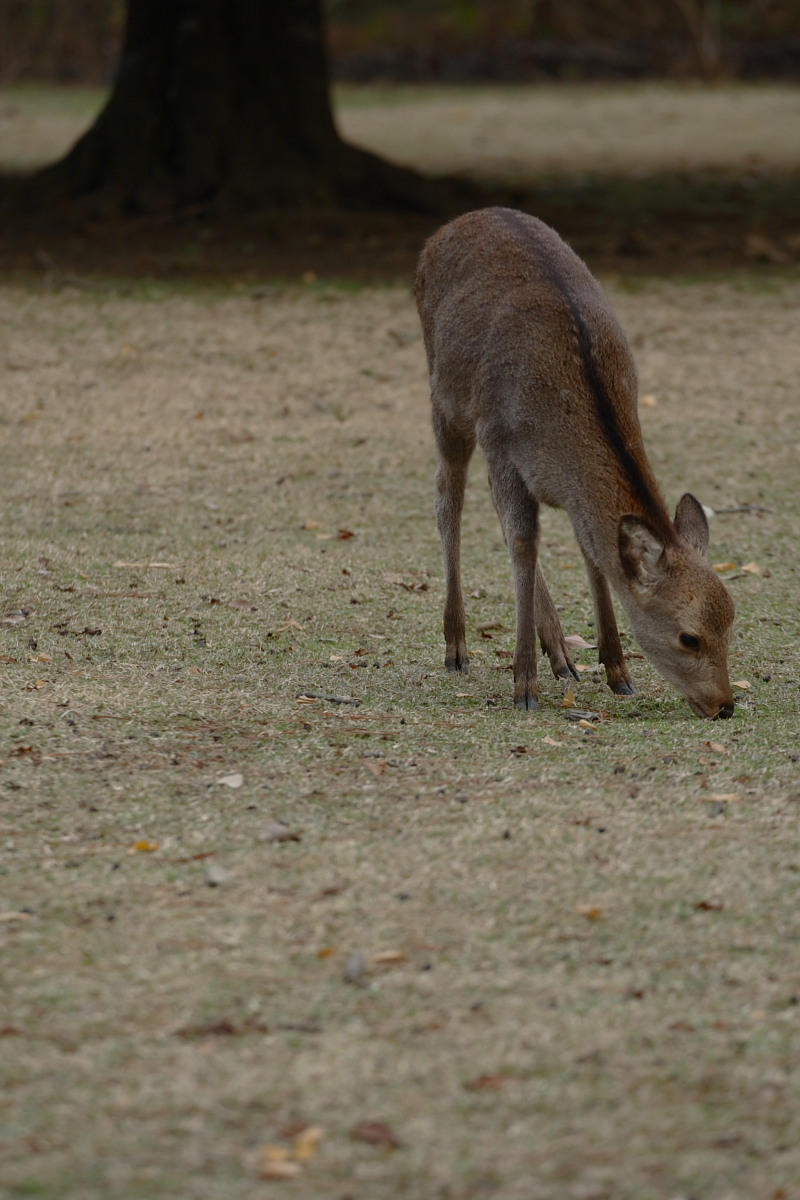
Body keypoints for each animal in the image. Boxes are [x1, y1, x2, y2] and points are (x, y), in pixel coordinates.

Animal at [417, 207, 734, 715]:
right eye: (689, 637)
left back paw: (562, 656)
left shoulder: (565, 488)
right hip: (445, 401)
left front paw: (618, 671)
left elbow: (588, 550)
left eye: (732, 621)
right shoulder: (501, 443)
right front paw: (524, 685)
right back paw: (458, 646)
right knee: (448, 497)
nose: (725, 704)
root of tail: (453, 224)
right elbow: (524, 543)